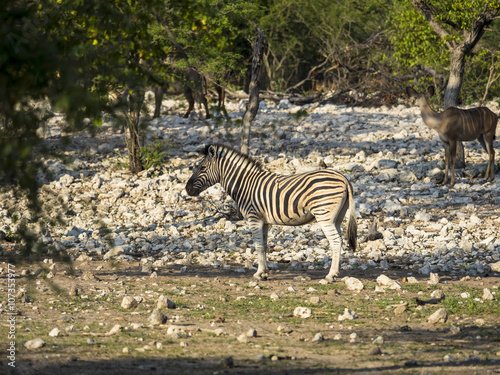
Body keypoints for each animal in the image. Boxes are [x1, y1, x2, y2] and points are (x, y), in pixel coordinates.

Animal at [186, 144, 358, 282]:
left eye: (202, 168)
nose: (187, 189)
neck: (244, 185)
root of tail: (343, 177)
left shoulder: (254, 217)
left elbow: (258, 245)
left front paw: (258, 273)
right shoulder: (264, 221)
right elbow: (264, 245)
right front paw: (265, 272)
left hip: (324, 215)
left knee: (335, 241)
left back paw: (330, 275)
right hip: (337, 217)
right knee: (339, 240)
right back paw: (335, 273)